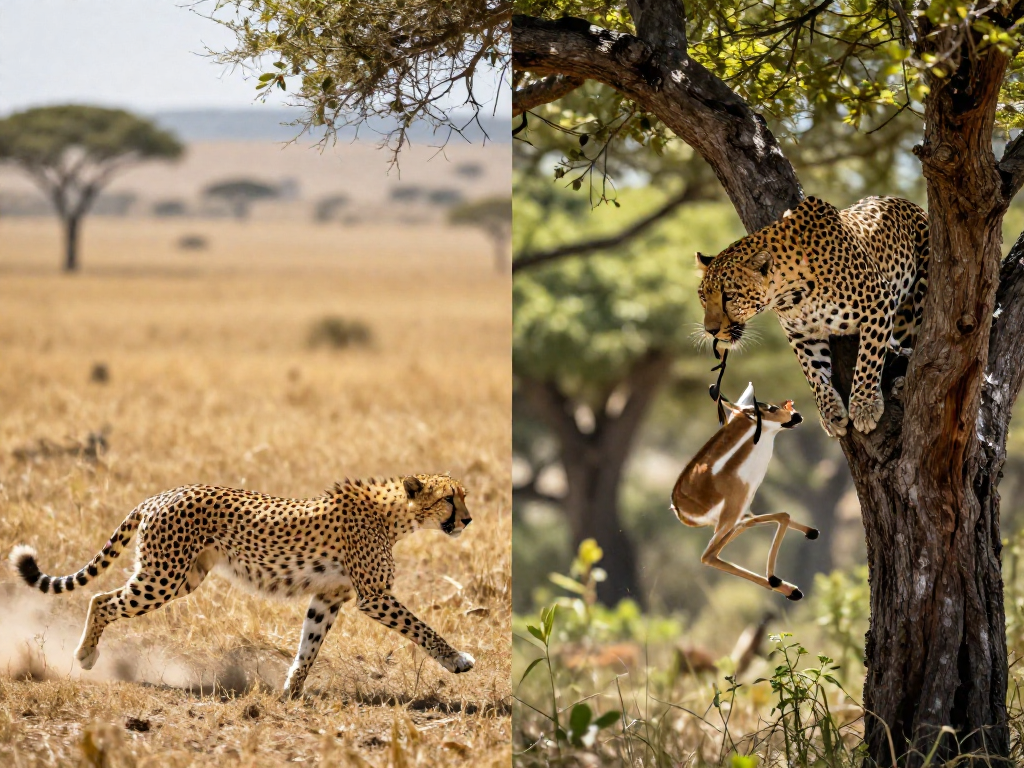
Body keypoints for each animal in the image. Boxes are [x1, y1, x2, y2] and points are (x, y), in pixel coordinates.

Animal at [8, 473, 475, 699]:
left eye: (464, 495)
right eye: (449, 498)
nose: (468, 520)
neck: (395, 514)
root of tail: (162, 494)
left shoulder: (328, 597)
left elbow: (309, 643)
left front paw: (291, 690)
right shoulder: (375, 597)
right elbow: (423, 629)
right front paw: (457, 660)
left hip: (184, 577)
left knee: (104, 596)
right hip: (163, 577)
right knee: (101, 599)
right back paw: (85, 656)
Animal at [696, 195, 929, 437]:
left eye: (729, 296)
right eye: (703, 296)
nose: (710, 330)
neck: (791, 296)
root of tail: (907, 202)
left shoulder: (878, 300)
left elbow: (868, 359)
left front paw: (864, 407)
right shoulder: (801, 334)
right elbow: (813, 372)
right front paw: (830, 413)